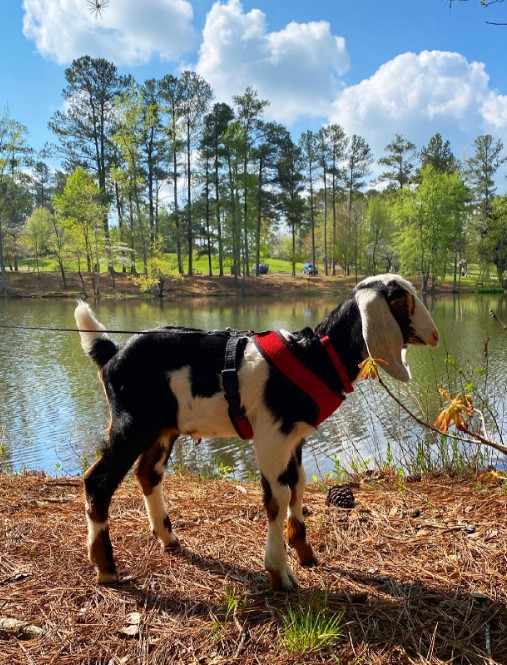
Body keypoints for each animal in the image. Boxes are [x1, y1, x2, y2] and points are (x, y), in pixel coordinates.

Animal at [75, 272, 440, 588]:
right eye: (400, 299)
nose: (436, 336)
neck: (315, 357)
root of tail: (112, 353)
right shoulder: (271, 438)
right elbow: (277, 498)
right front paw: (280, 571)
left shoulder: (295, 438)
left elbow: (298, 487)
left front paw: (305, 553)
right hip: (132, 423)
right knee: (98, 481)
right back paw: (106, 568)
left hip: (163, 428)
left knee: (148, 473)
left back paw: (168, 538)